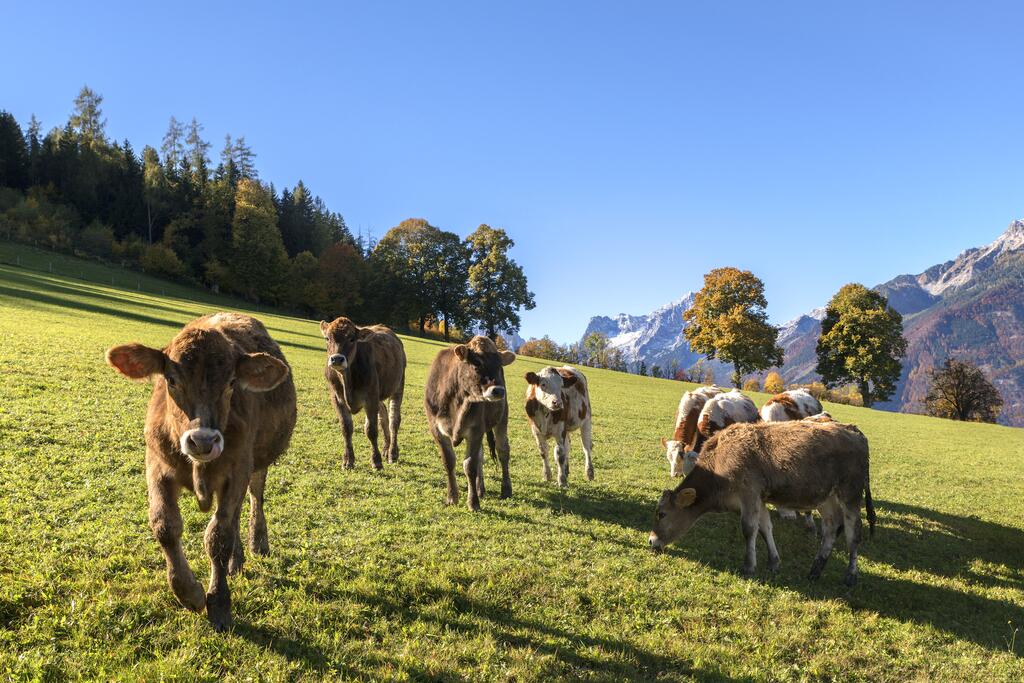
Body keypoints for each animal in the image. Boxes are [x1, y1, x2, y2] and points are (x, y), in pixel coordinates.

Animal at [105, 313, 296, 631]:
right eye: (171, 379)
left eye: (232, 382)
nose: (203, 440)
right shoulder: (156, 466)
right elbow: (165, 525)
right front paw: (190, 593)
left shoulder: (237, 470)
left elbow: (218, 536)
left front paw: (218, 603)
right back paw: (236, 561)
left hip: (258, 463)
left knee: (254, 499)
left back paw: (257, 544)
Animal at [320, 317, 406, 470]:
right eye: (327, 338)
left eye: (352, 339)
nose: (337, 359)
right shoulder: (336, 398)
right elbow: (346, 428)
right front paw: (348, 460)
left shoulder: (370, 398)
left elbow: (371, 430)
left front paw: (376, 461)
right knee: (384, 416)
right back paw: (386, 448)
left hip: (398, 385)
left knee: (394, 420)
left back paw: (392, 453)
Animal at [424, 336, 516, 511]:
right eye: (477, 362)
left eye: (500, 364)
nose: (499, 390)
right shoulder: (436, 430)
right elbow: (449, 461)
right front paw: (452, 497)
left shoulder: (475, 430)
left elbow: (470, 465)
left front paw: (473, 503)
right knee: (481, 455)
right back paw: (480, 489)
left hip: (502, 419)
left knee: (503, 451)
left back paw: (506, 489)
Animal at [649, 420, 875, 586]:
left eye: (662, 513)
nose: (651, 541)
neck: (718, 465)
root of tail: (854, 430)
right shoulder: (760, 499)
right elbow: (765, 528)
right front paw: (773, 562)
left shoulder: (749, 493)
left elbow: (749, 529)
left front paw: (749, 566)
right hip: (826, 498)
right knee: (831, 527)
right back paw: (815, 570)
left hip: (851, 493)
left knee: (853, 533)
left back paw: (850, 575)